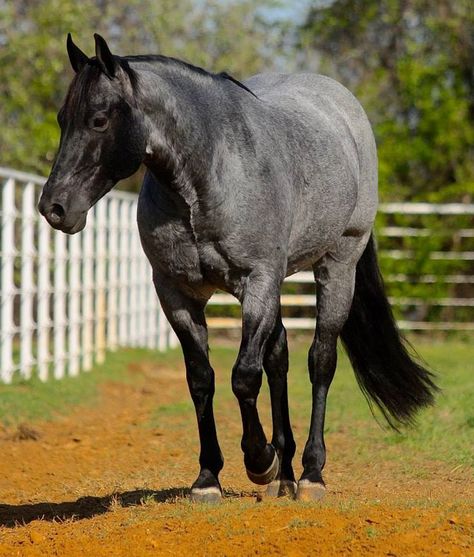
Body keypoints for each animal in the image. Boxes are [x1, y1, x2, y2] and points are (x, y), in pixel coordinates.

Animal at [38, 33, 436, 504]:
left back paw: (310, 473)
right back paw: (286, 473)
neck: (207, 177)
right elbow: (201, 378)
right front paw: (209, 477)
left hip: (338, 268)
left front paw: (259, 460)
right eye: (63, 118)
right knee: (279, 358)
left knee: (320, 360)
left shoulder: (257, 283)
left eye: (99, 120)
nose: (54, 208)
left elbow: (244, 376)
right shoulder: (176, 294)